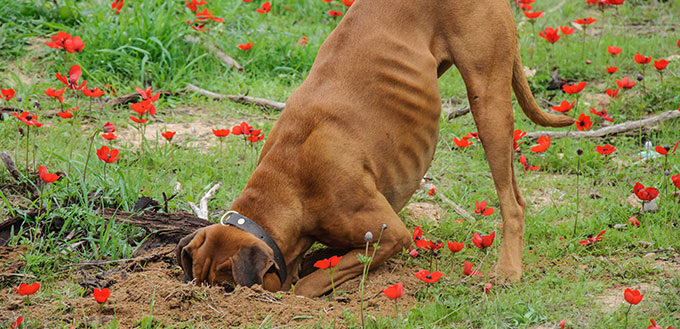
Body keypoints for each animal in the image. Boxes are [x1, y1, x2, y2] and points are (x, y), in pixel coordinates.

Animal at [175, 0, 572, 298]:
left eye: (227, 289)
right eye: (197, 284)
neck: (289, 182)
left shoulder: (390, 234)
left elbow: (310, 283)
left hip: (487, 101)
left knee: (513, 202)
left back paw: (508, 270)